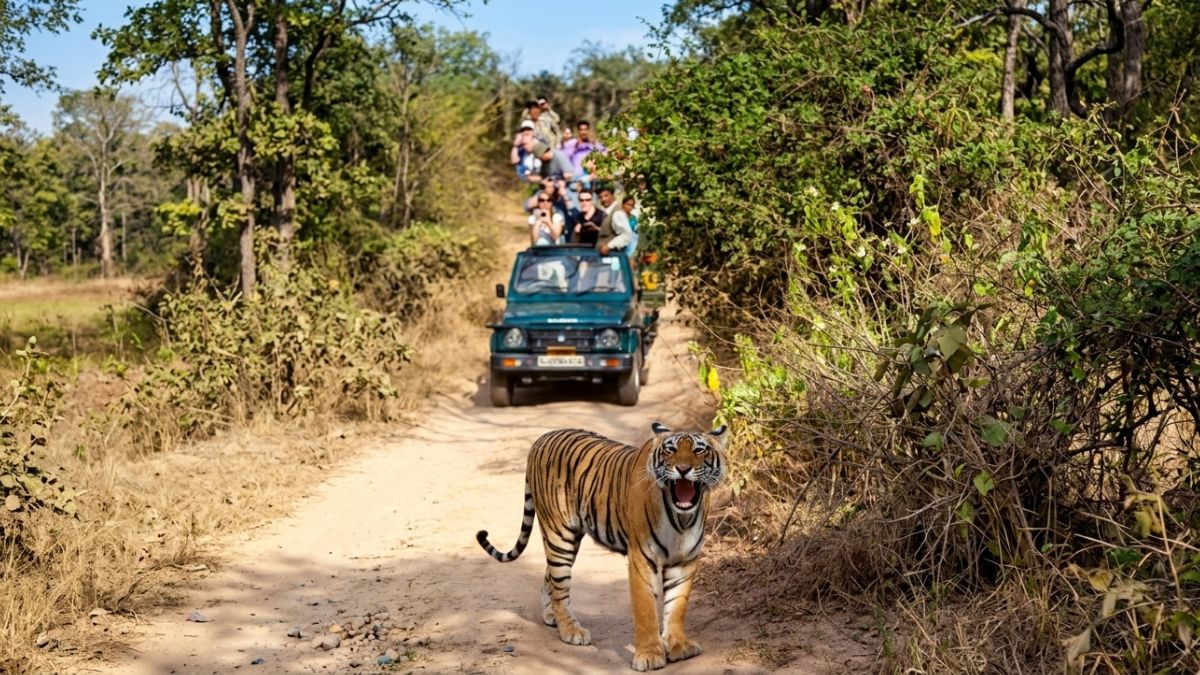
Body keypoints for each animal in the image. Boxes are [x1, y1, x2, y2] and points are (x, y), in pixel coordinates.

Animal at [476, 422, 728, 672]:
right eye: (670, 450)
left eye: (699, 450)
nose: (683, 469)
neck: (681, 519)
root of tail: (541, 438)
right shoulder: (641, 558)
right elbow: (646, 609)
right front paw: (649, 656)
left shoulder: (685, 561)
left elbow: (676, 606)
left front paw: (679, 647)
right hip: (559, 534)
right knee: (560, 585)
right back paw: (571, 631)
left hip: (569, 539)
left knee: (551, 577)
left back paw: (551, 616)